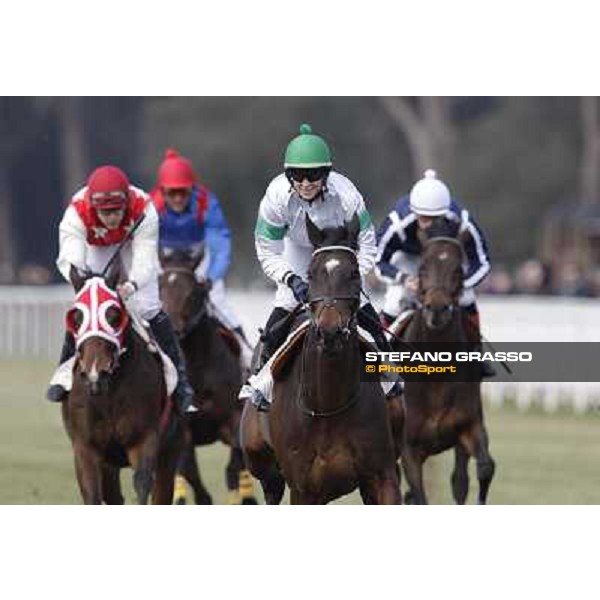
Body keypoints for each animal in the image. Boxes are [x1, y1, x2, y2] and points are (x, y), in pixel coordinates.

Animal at [61, 270, 184, 504]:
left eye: (114, 316)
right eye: (77, 318)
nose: (95, 372)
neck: (107, 393)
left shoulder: (144, 440)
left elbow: (143, 486)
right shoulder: (85, 448)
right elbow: (92, 495)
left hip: (170, 448)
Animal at [158, 248, 256, 506]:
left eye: (194, 292)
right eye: (160, 286)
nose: (172, 329)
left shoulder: (232, 421)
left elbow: (233, 469)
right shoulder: (184, 431)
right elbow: (188, 474)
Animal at [239, 216, 398, 506]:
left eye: (354, 273)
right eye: (311, 274)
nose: (330, 331)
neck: (328, 402)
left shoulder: (381, 476)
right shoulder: (304, 489)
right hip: (263, 468)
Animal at [392, 218, 494, 504]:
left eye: (458, 270)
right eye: (423, 267)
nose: (437, 309)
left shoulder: (469, 428)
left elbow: (482, 470)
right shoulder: (409, 449)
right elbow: (419, 495)